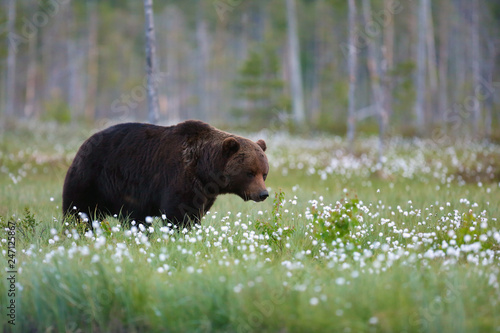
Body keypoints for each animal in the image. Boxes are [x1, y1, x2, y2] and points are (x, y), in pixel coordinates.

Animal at [62, 120, 270, 227]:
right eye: (250, 172)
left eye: (264, 173)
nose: (263, 193)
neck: (204, 170)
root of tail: (84, 143)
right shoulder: (178, 178)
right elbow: (179, 213)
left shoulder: (204, 192)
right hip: (92, 178)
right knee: (79, 211)